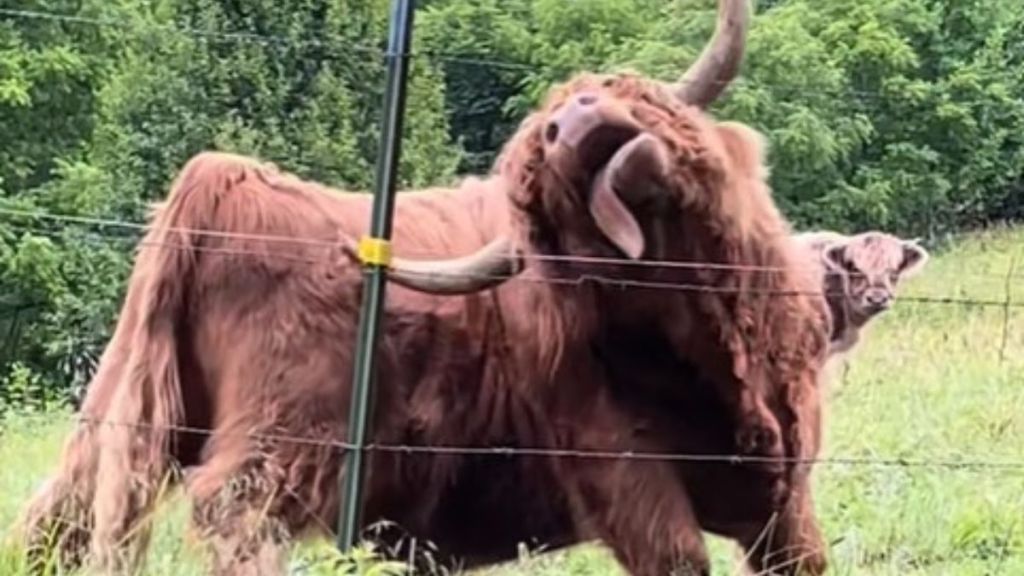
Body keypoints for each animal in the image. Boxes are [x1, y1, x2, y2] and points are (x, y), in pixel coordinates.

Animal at [18, 1, 831, 573]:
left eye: (606, 89)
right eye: (548, 203)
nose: (566, 123)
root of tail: (223, 178)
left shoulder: (788, 490)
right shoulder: (622, 473)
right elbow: (678, 556)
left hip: (120, 411)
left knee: (54, 516)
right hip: (281, 439)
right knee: (234, 514)